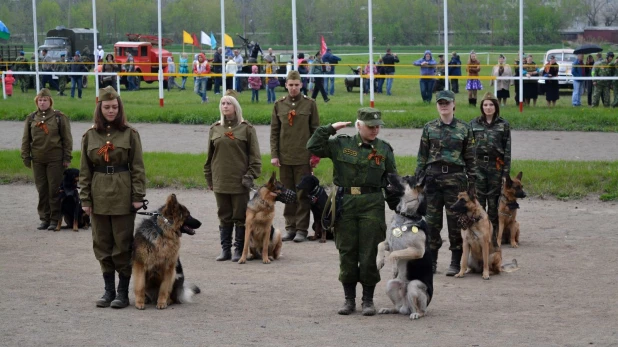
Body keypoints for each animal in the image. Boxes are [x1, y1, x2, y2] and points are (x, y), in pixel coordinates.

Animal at [372, 174, 430, 320]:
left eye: (406, 178)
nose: (387, 174)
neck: (406, 217)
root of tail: (407, 307)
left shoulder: (417, 251)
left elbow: (394, 255)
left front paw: (394, 269)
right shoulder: (390, 244)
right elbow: (380, 244)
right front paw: (379, 261)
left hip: (414, 286)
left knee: (422, 311)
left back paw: (416, 314)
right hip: (390, 285)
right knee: (398, 309)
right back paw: (389, 309)